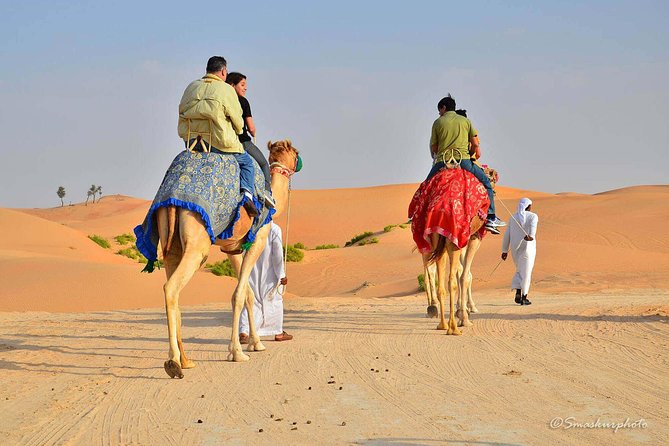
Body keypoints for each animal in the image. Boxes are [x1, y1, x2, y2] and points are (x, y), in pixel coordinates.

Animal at [133, 139, 300, 376]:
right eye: (296, 153)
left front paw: (256, 343)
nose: (298, 163)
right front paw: (237, 352)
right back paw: (174, 362)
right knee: (171, 288)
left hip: (169, 243)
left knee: (174, 290)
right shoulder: (258, 240)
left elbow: (248, 294)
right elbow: (239, 295)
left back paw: (186, 360)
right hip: (197, 242)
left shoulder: (232, 248)